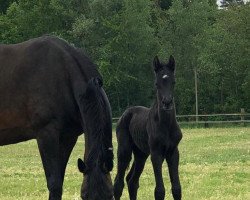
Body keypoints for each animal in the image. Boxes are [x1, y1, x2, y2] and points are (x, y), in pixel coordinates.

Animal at [113, 55, 182, 199]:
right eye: (157, 84)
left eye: (173, 82)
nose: (167, 103)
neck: (166, 126)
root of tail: (125, 114)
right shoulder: (156, 154)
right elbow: (159, 191)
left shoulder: (173, 153)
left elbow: (177, 189)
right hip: (124, 151)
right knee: (118, 184)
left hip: (141, 154)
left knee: (132, 181)